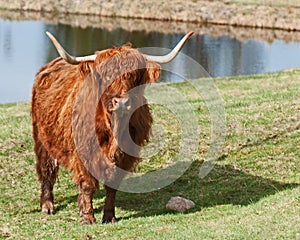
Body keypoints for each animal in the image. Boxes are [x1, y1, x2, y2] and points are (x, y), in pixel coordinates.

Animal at [31, 31, 193, 224]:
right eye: (106, 75)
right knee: (46, 171)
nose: (121, 102)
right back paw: (47, 206)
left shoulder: (125, 156)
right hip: (42, 140)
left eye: (133, 76)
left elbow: (112, 186)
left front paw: (109, 216)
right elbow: (86, 185)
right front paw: (88, 218)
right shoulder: (83, 153)